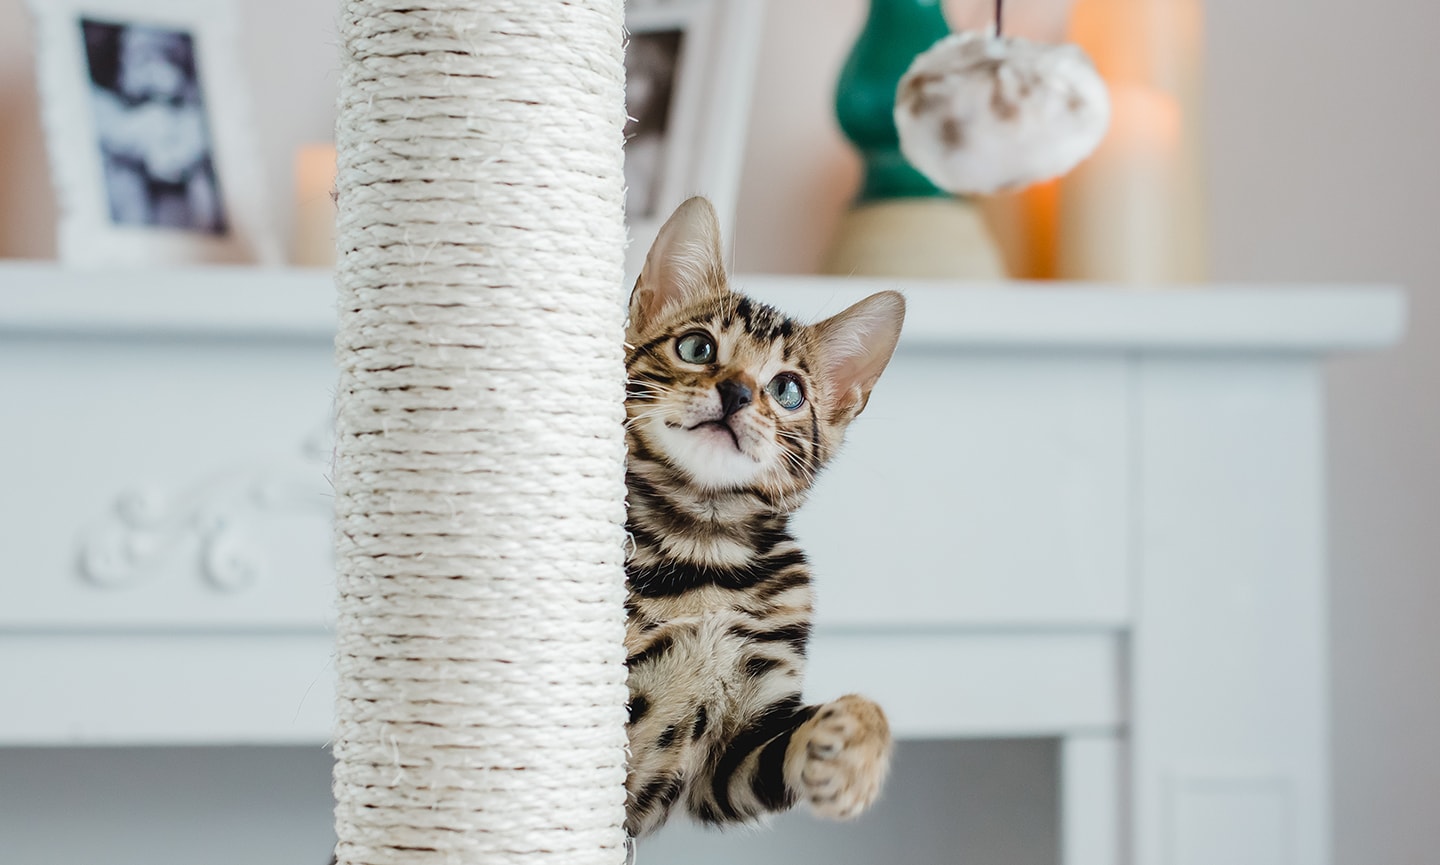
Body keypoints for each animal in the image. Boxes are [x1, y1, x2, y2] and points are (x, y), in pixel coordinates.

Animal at [623, 196, 905, 838]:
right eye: (697, 348)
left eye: (788, 390)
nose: (736, 393)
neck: (702, 544)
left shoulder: (730, 758)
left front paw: (856, 749)